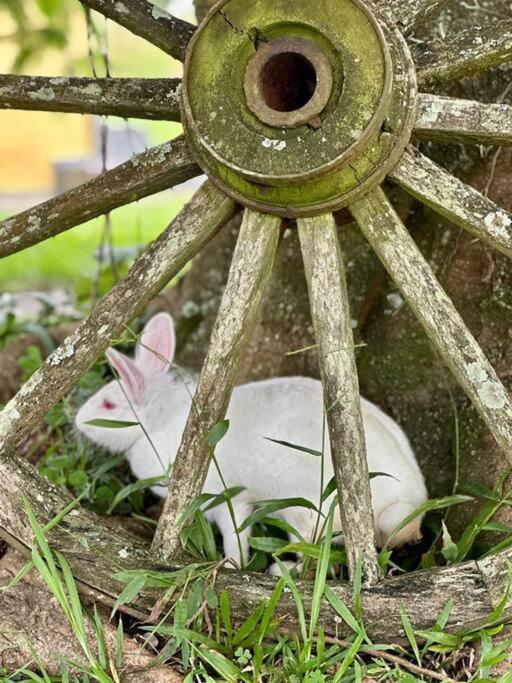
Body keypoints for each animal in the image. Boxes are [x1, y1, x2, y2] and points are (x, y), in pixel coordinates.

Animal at [76, 312, 428, 564]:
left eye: (108, 404)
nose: (78, 421)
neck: (162, 420)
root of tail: (407, 506)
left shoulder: (227, 500)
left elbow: (236, 537)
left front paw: (234, 566)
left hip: (304, 514)